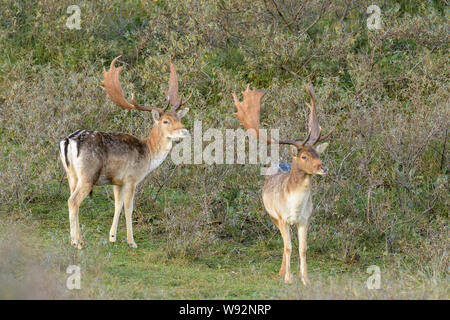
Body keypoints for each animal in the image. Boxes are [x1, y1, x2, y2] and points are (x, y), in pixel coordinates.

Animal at [59, 56, 190, 249]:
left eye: (179, 118)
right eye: (166, 121)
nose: (185, 131)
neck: (148, 154)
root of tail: (68, 141)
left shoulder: (117, 181)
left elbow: (117, 205)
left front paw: (112, 237)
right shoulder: (131, 178)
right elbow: (129, 208)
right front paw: (131, 241)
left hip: (71, 175)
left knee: (71, 199)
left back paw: (77, 239)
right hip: (88, 175)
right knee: (73, 201)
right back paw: (77, 243)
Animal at [232, 81, 334, 284]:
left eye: (318, 154)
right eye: (304, 156)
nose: (324, 168)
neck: (295, 206)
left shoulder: (306, 219)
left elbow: (303, 248)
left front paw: (305, 279)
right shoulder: (282, 217)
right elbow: (288, 247)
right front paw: (288, 278)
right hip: (272, 216)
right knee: (283, 242)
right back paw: (281, 273)